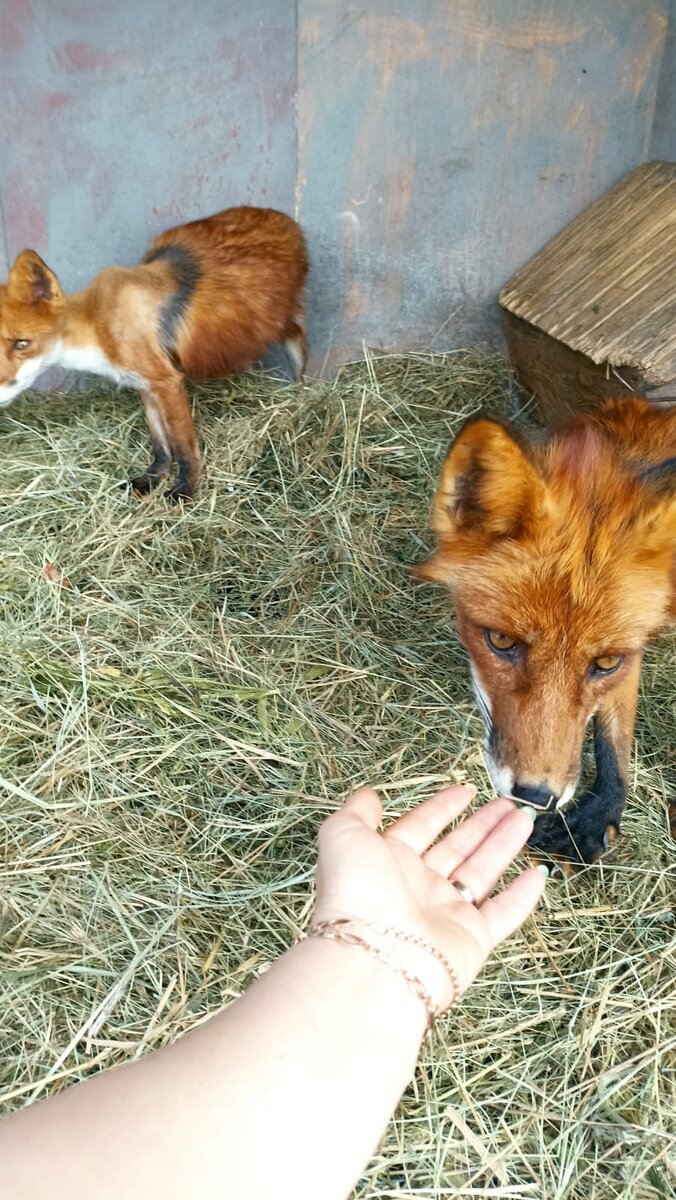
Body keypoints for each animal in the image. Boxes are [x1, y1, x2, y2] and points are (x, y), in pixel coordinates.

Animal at [0, 208, 309, 499]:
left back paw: (302, 395)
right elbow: (161, 445)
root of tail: (284, 218)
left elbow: (183, 445)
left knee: (300, 345)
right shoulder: (146, 384)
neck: (99, 326)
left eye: (21, 344)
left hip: (281, 325)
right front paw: (151, 479)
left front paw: (185, 489)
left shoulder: (166, 381)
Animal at [415, 398, 672, 868]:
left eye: (607, 661)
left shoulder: (635, 644)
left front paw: (601, 810)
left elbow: (614, 737)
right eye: (501, 641)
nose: (536, 795)